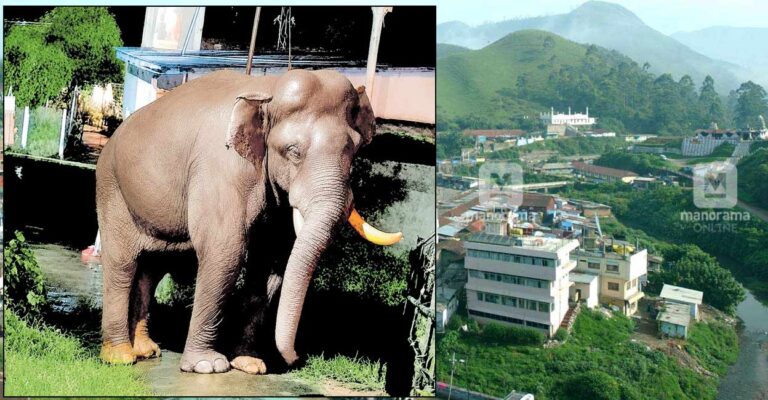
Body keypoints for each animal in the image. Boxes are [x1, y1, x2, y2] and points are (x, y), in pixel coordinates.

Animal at [95, 68, 402, 374]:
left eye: (354, 152)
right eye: (293, 151)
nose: (295, 359)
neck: (268, 88)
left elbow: (271, 262)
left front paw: (251, 364)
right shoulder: (222, 168)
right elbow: (225, 253)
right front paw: (208, 365)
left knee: (153, 268)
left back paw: (146, 351)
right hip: (112, 190)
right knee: (122, 265)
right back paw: (120, 357)